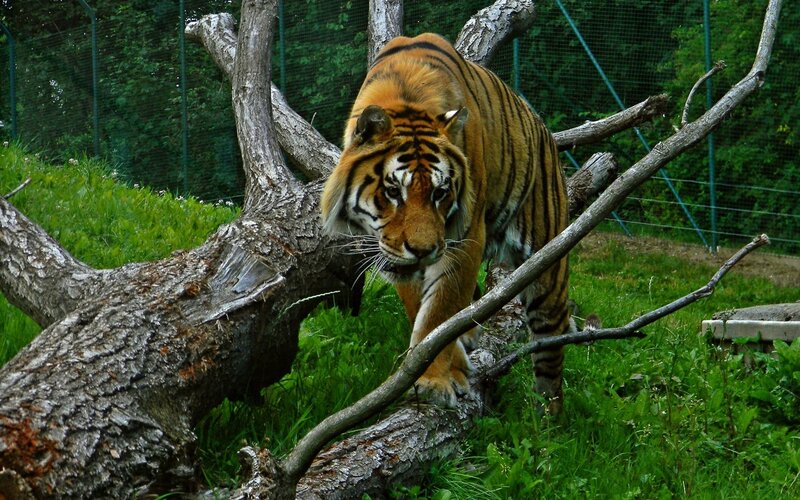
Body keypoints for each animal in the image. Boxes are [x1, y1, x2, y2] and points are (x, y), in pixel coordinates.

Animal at [321, 33, 570, 413]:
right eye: (393, 191)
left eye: (440, 193)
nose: (423, 250)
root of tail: (543, 129)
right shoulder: (400, 260)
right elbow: (424, 312)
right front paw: (448, 364)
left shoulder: (464, 238)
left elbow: (439, 312)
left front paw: (433, 382)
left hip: (548, 271)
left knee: (550, 355)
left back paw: (549, 418)